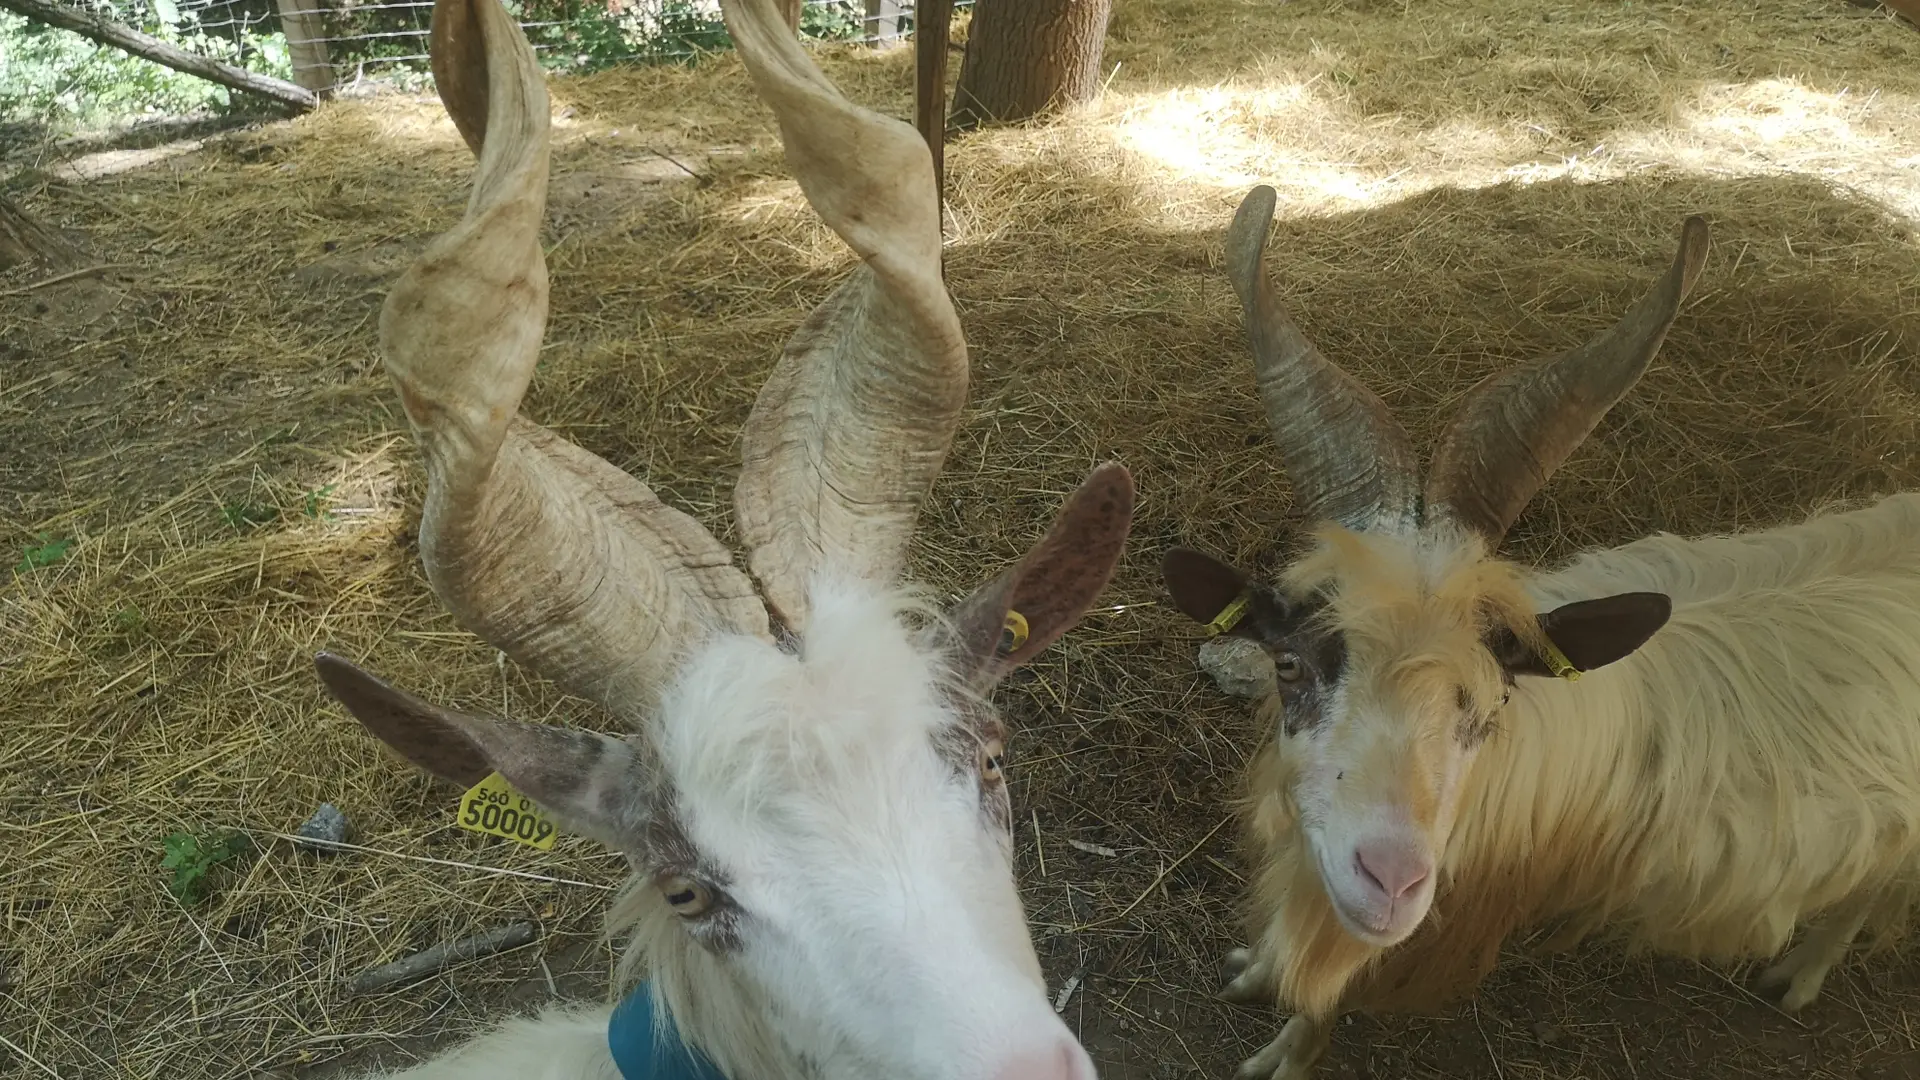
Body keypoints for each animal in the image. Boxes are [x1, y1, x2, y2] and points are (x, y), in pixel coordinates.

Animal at [1152, 182, 1920, 1068]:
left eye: (1493, 705)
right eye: (1290, 665)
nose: (1391, 882)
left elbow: (1330, 1000)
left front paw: (1286, 1053)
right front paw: (1252, 968)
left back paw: (1800, 974)